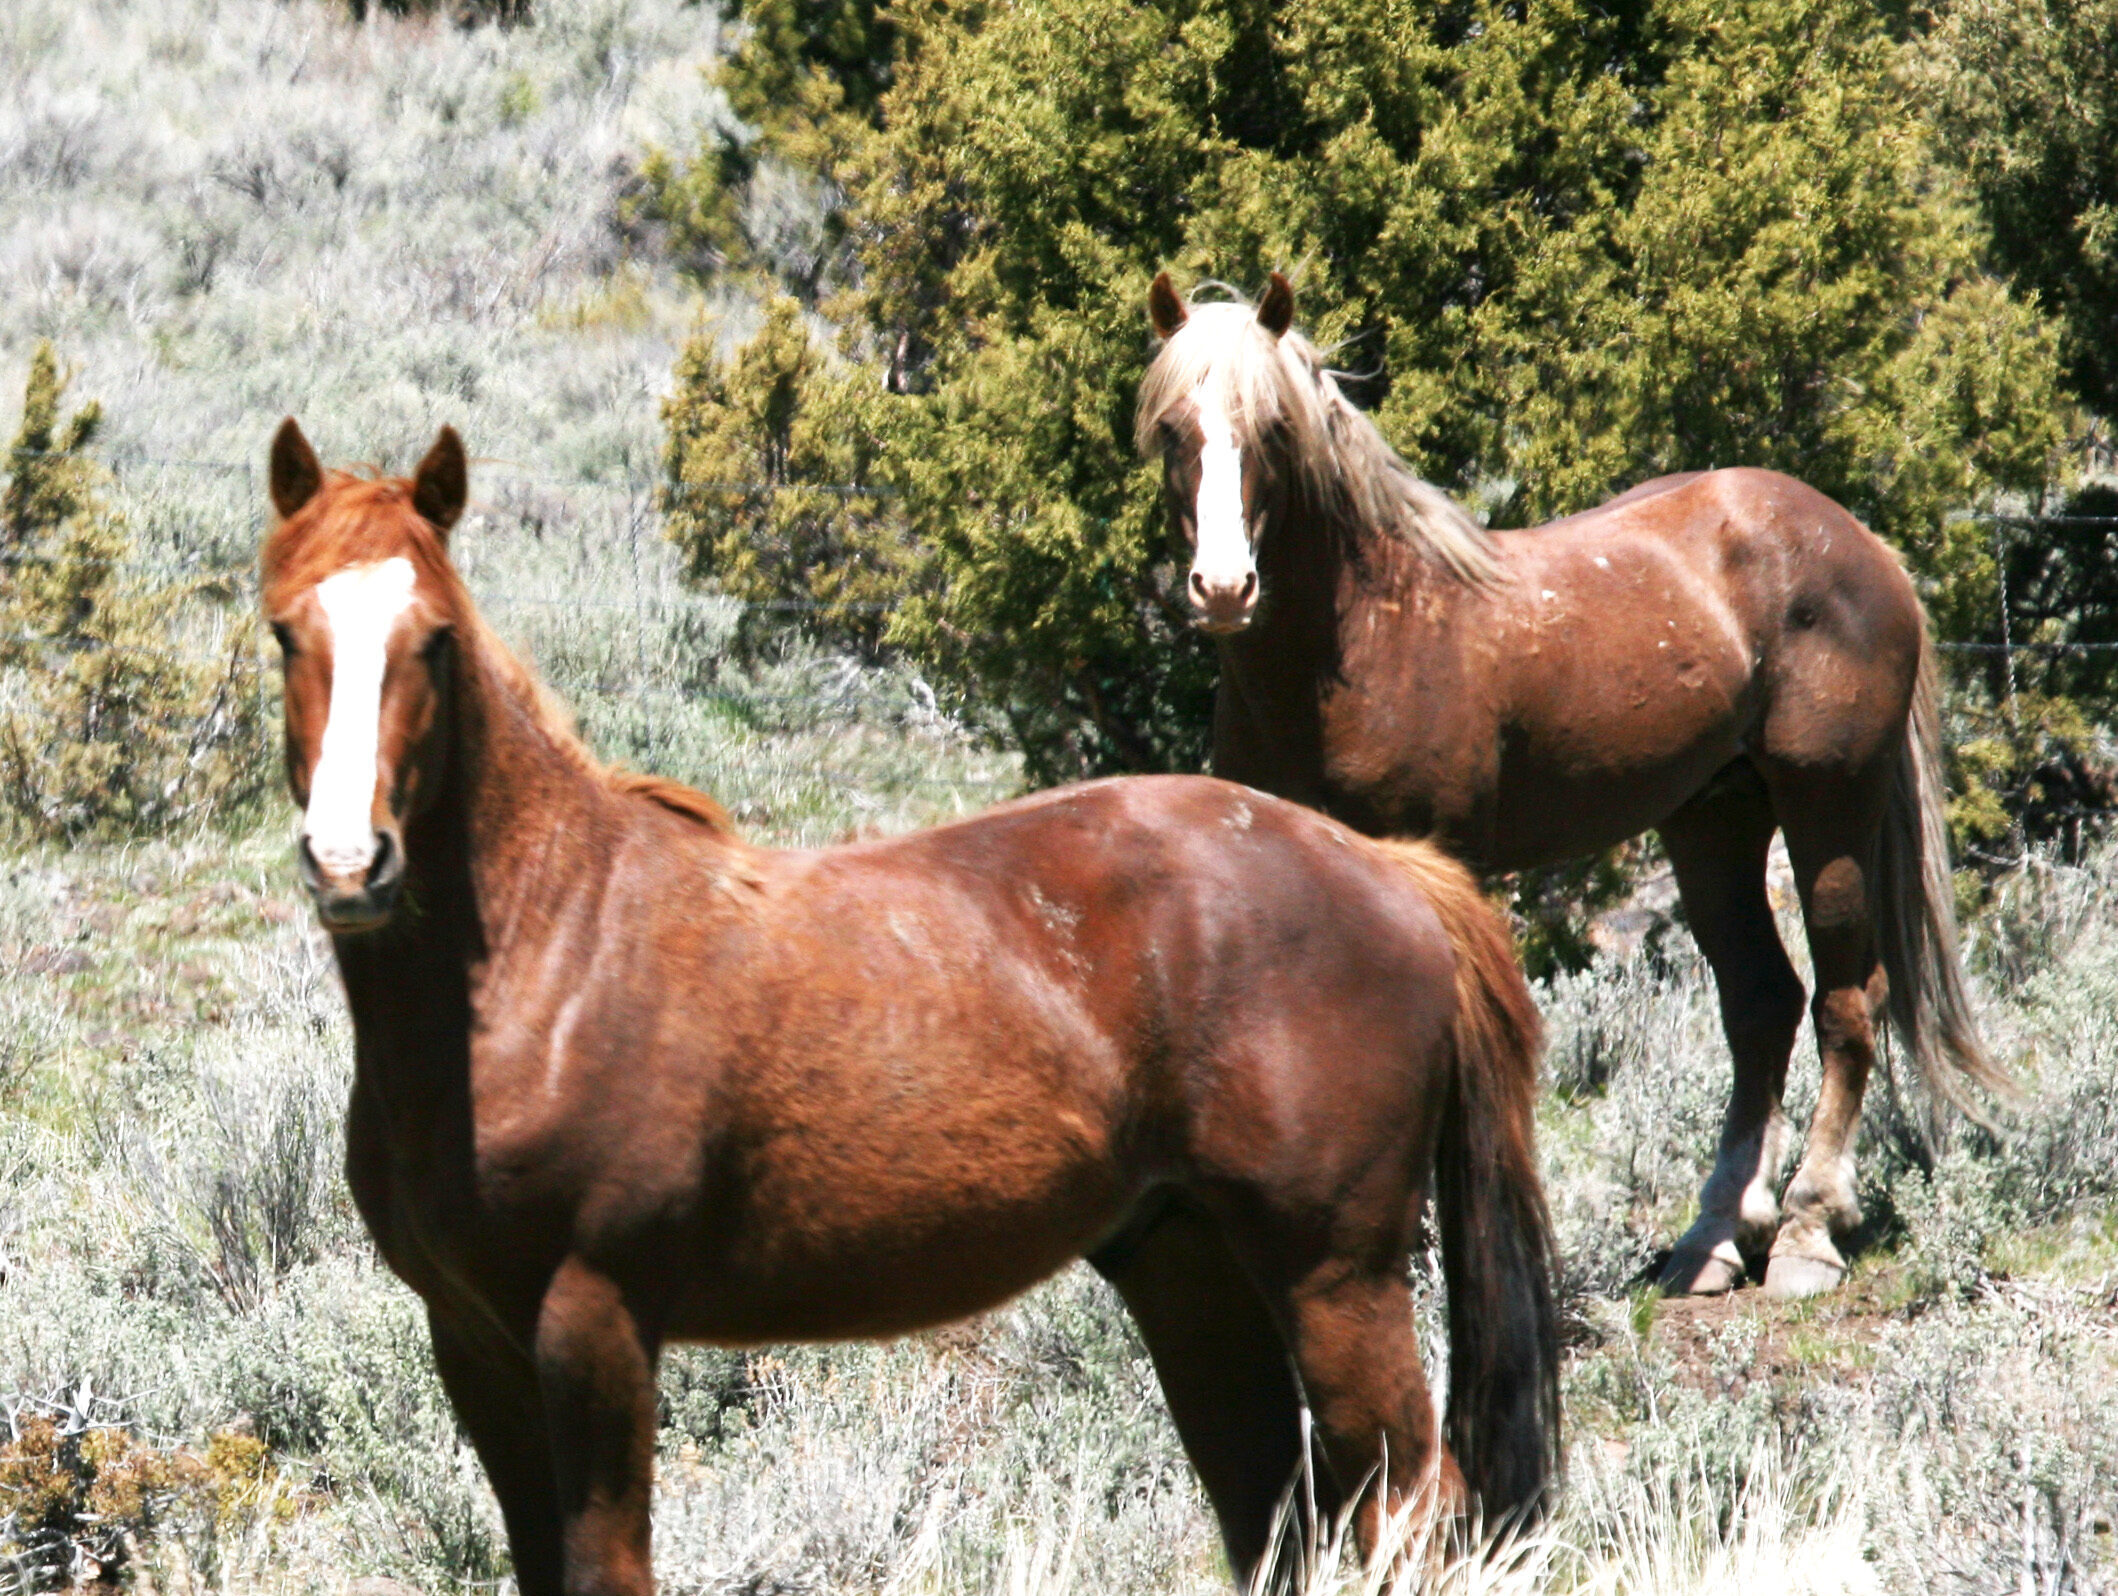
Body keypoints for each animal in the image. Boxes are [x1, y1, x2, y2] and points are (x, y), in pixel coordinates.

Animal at [258, 418, 1560, 1593]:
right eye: (283, 633)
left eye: (432, 641)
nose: (349, 862)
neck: (553, 947)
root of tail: (1389, 869)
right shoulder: (472, 1338)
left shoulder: (595, 1320)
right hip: (1188, 1266)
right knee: (1275, 1518)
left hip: (1337, 1276)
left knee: (1407, 1502)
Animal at [1137, 271, 2011, 1301]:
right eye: (1172, 430)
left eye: (1274, 427)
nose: (1223, 587)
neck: (1366, 634)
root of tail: (1861, 544)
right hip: (1712, 821)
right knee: (1761, 1004)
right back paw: (1714, 1240)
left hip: (1827, 803)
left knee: (1845, 1001)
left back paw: (1807, 1229)